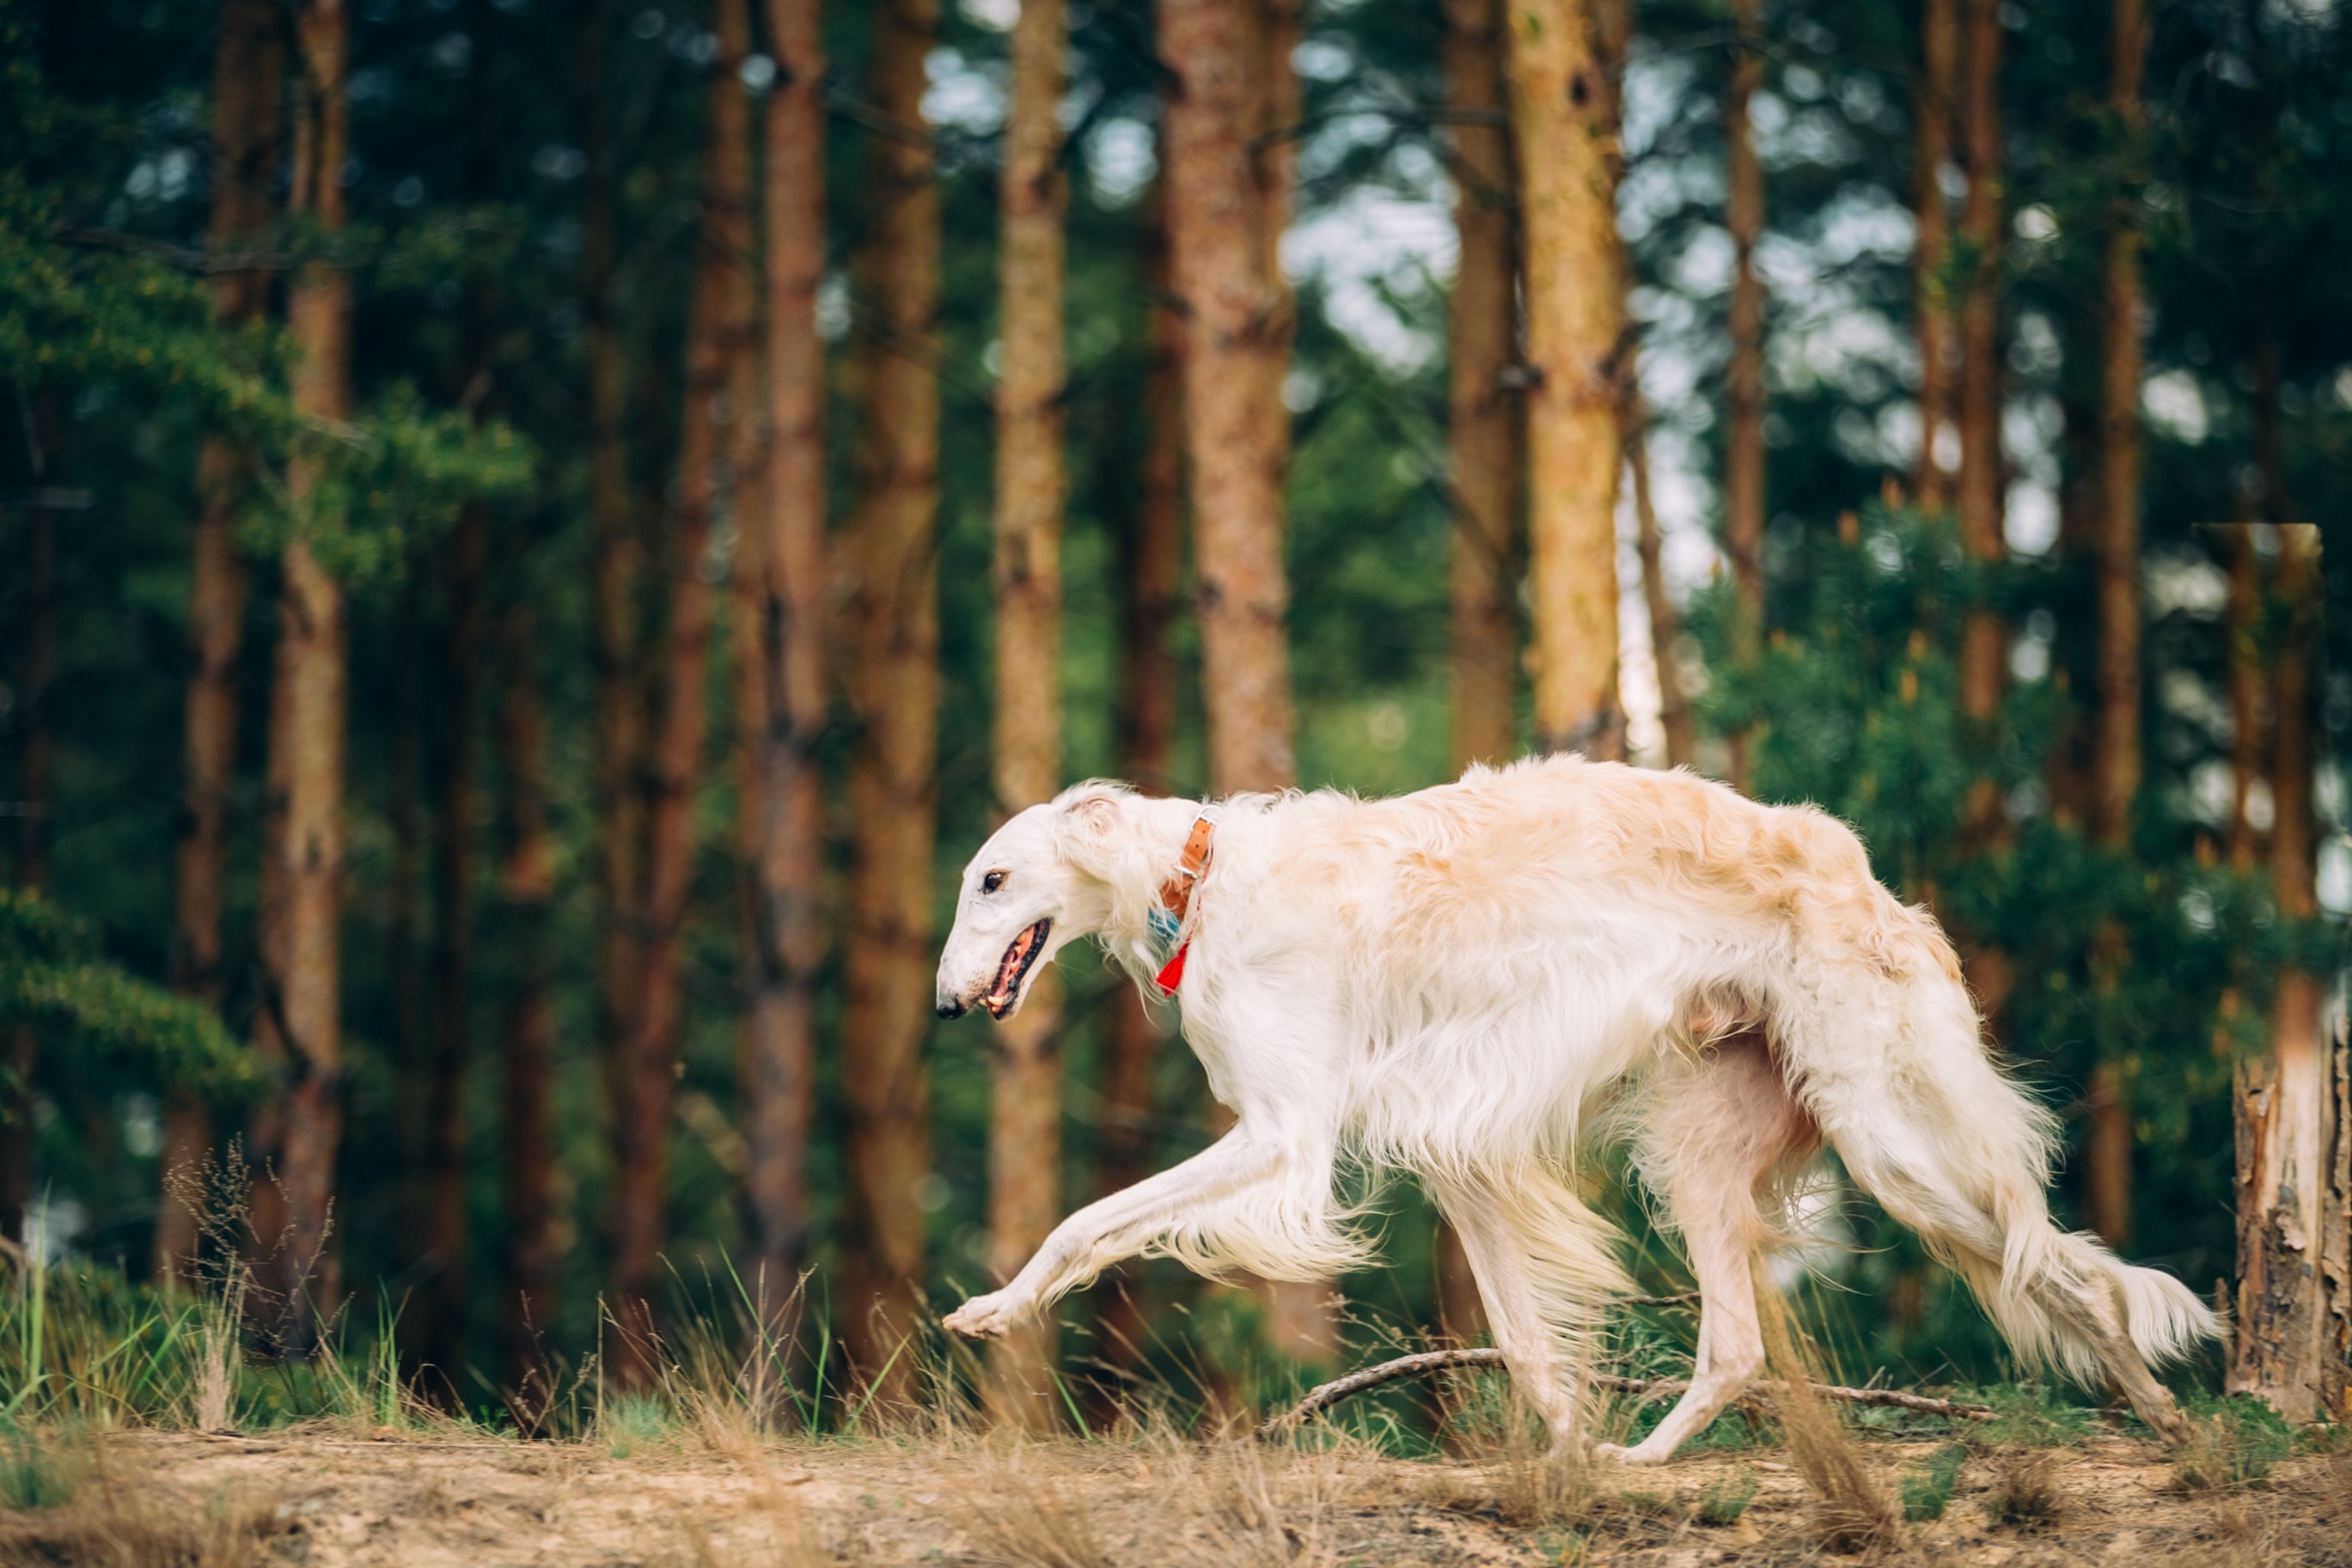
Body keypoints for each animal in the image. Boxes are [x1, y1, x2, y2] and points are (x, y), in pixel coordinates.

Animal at [931, 752, 2201, 1467]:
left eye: (991, 878)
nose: (943, 1003)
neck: (1197, 880)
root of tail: (1874, 884)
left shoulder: (1285, 1132)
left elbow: (1087, 1221)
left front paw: (996, 1306)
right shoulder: (1447, 1148)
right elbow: (1529, 1346)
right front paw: (1570, 1454)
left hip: (1888, 1142)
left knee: (2061, 1268)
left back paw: (2166, 1413)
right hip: (1707, 1153)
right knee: (1742, 1346)